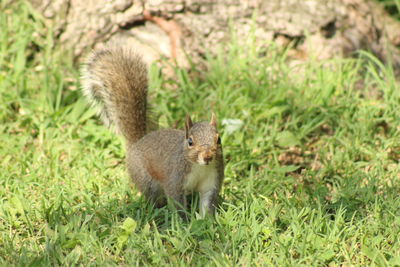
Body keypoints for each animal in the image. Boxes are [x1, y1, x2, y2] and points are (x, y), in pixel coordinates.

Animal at [80, 46, 225, 218]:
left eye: (219, 139)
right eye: (190, 141)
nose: (208, 156)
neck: (199, 167)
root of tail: (137, 143)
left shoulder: (212, 181)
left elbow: (207, 204)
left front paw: (205, 221)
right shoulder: (175, 180)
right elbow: (178, 204)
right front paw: (185, 222)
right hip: (146, 178)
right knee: (152, 197)